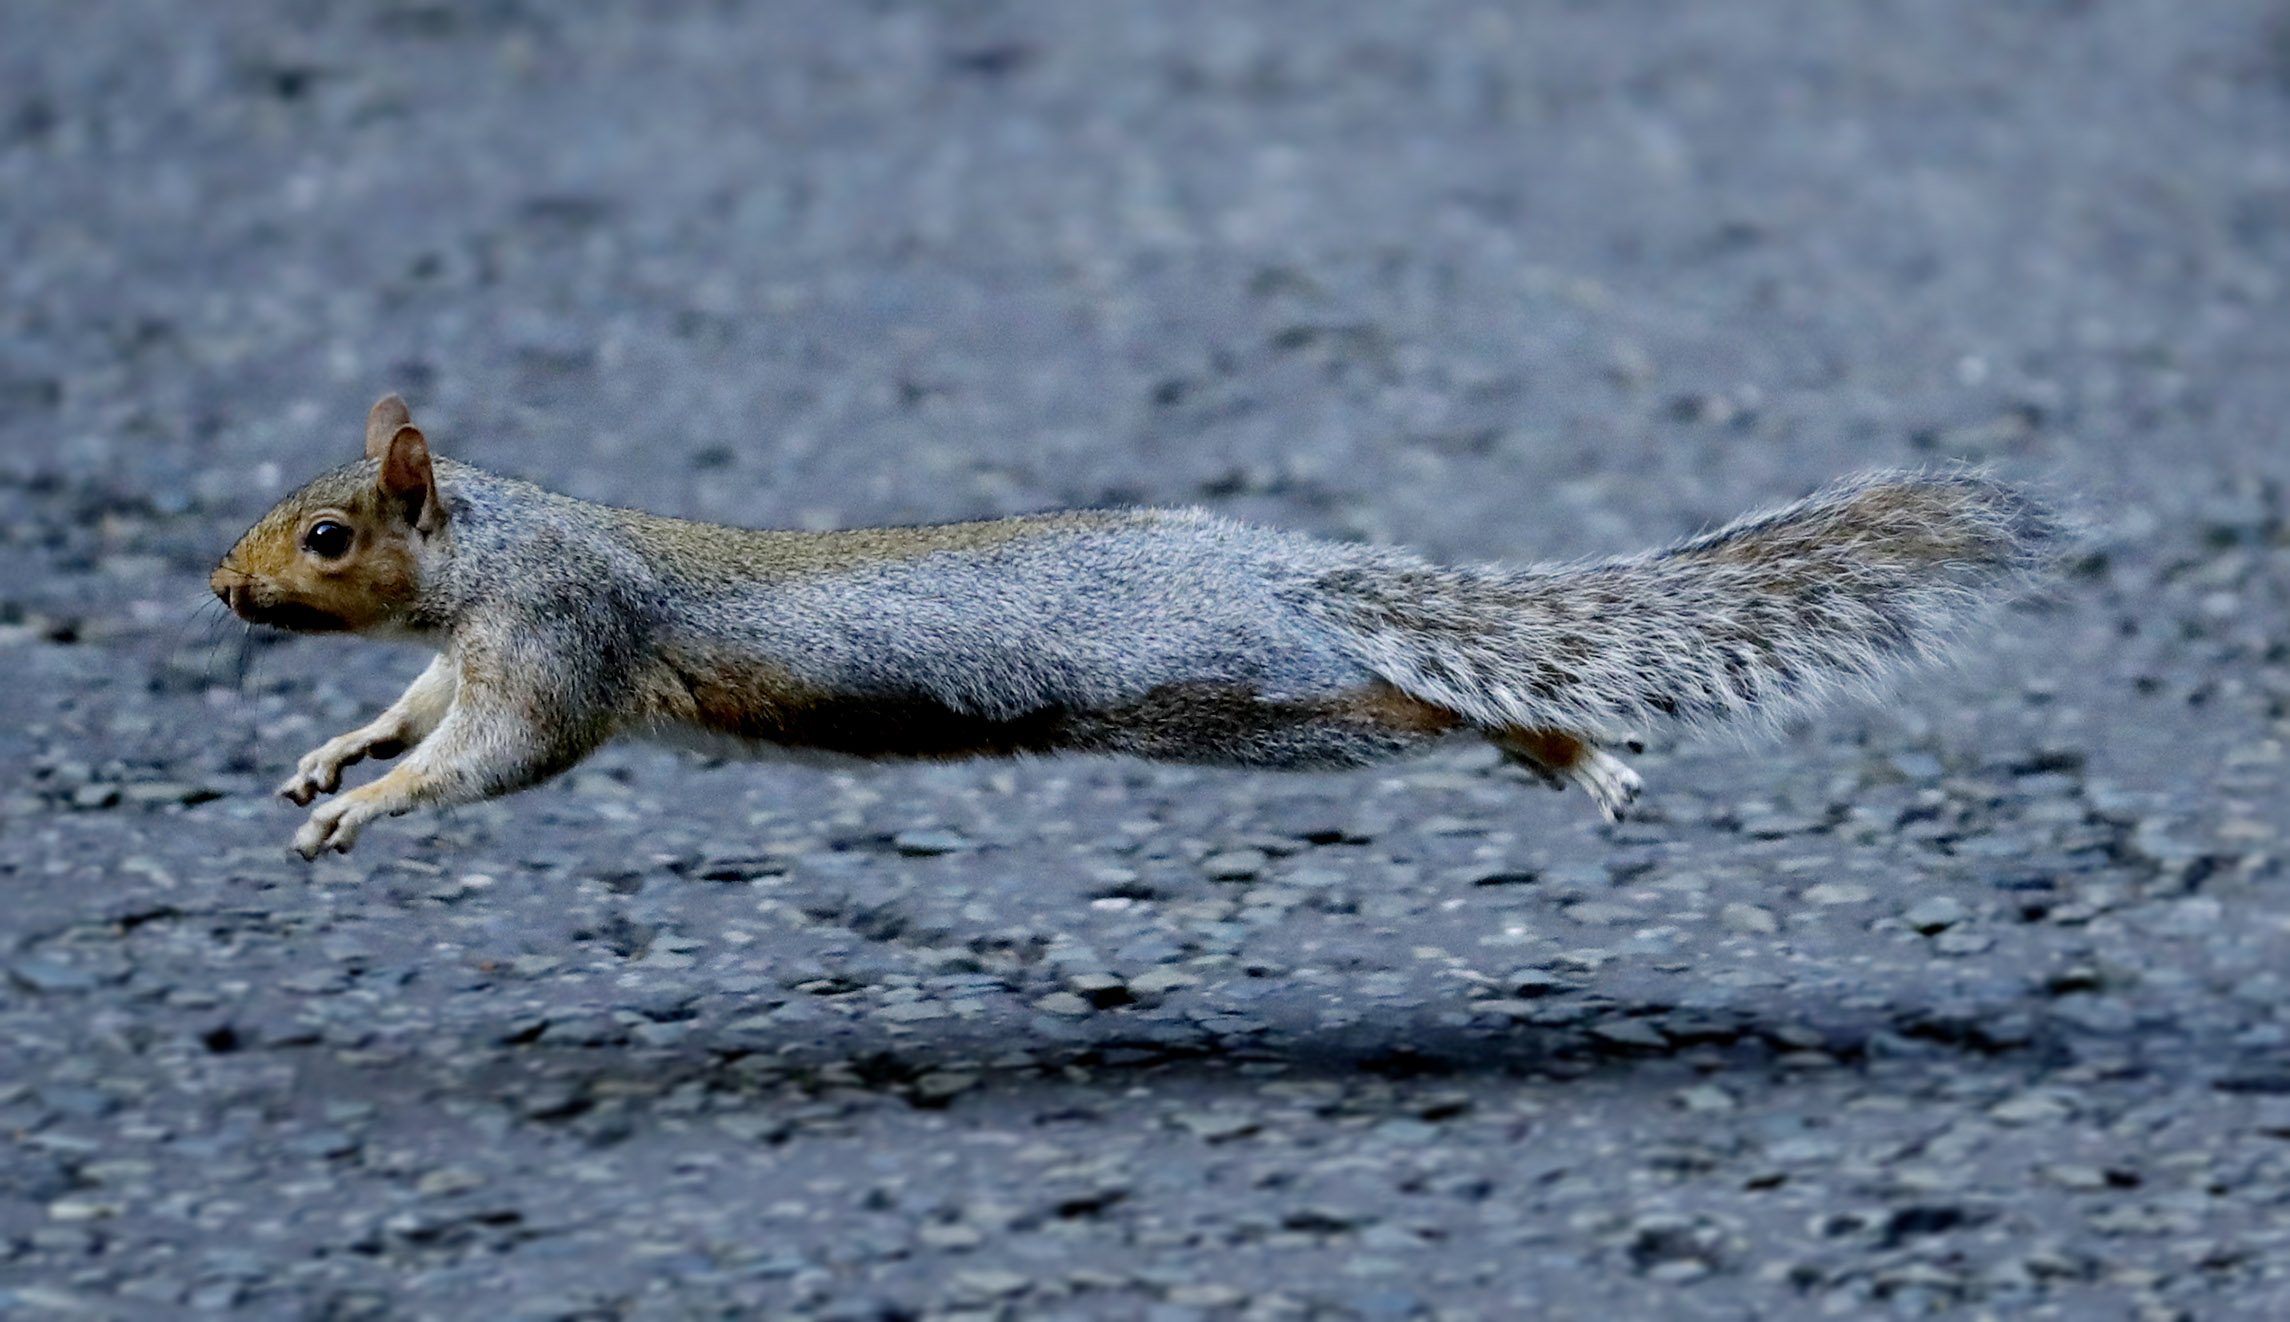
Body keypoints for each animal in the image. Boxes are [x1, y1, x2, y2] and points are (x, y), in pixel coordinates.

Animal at [211, 395, 2063, 860]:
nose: (222, 591)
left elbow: (495, 756)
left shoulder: (561, 640)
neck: (507, 544)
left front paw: (367, 812)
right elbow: (415, 710)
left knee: (1433, 706)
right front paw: (331, 757)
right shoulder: (473, 645)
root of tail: (1279, 569)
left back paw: (1565, 746)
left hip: (1241, 698)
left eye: (326, 535)